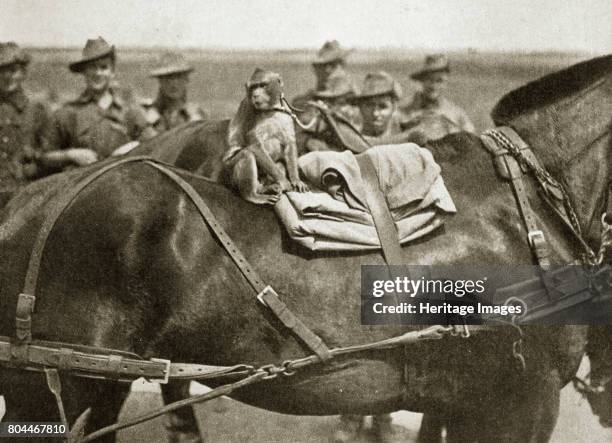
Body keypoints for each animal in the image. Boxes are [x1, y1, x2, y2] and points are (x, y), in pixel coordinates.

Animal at [224, 68, 308, 206]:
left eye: (262, 85)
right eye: (253, 87)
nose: (255, 95)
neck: (272, 109)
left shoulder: (285, 110)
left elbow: (289, 142)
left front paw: (296, 179)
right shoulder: (248, 107)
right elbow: (254, 144)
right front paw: (284, 182)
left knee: (280, 160)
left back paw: (267, 188)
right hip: (229, 172)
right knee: (247, 154)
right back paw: (253, 195)